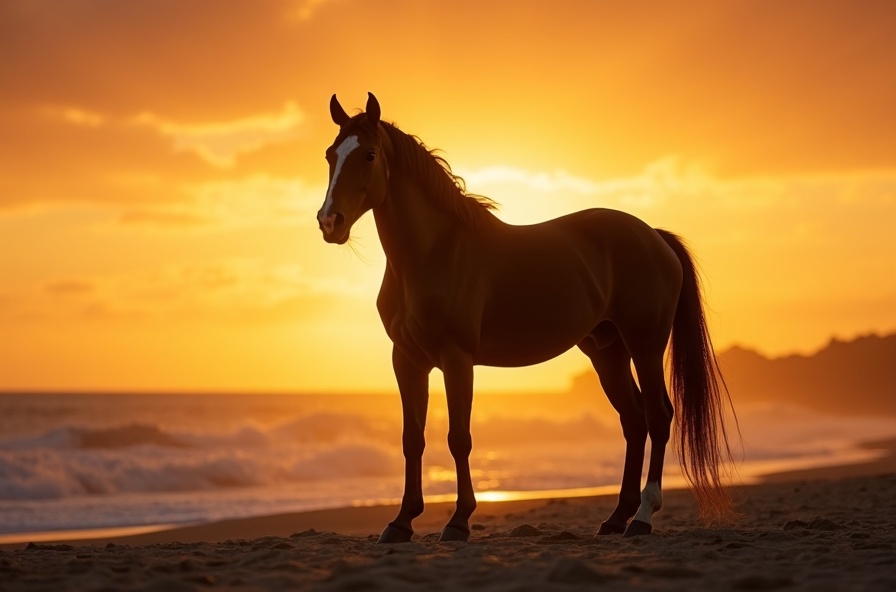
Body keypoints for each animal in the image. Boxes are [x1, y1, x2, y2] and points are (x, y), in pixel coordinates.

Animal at [317, 93, 736, 542]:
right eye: (330, 155)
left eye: (369, 154)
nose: (329, 222)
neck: (433, 254)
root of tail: (654, 236)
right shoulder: (408, 360)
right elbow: (412, 438)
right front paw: (401, 522)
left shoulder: (456, 358)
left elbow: (458, 437)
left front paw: (458, 521)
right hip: (608, 352)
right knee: (633, 420)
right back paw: (615, 517)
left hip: (645, 346)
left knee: (657, 416)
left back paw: (641, 516)